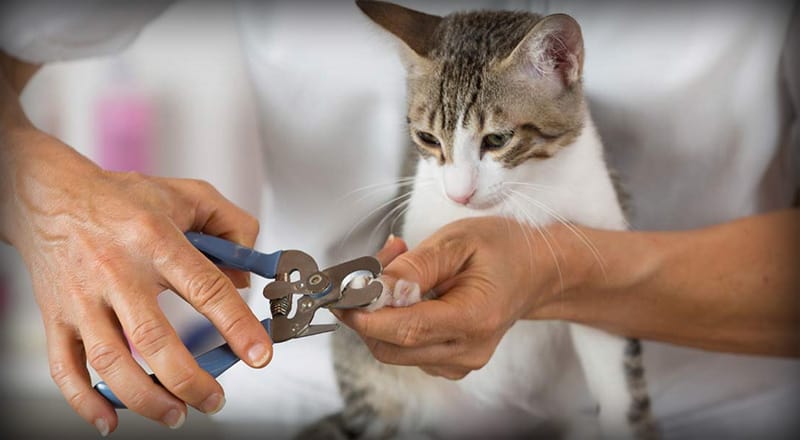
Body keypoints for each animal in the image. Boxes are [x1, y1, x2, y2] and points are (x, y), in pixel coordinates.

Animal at [304, 1, 652, 438]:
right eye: (428, 138)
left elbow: (618, 375)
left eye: (498, 140)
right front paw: (390, 287)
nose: (459, 193)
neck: (516, 202)